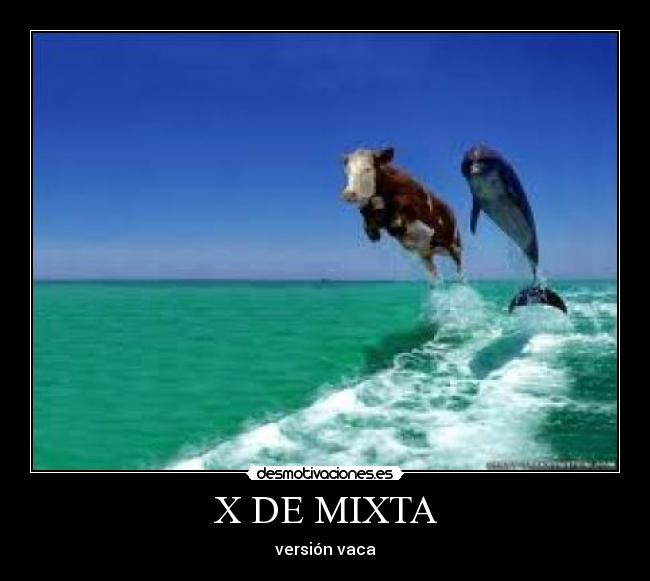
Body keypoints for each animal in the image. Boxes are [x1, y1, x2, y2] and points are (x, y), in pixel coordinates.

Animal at [341, 147, 462, 280]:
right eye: (347, 171)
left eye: (367, 169)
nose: (348, 194)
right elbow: (366, 213)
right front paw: (373, 232)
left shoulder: (414, 207)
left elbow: (399, 221)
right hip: (426, 255)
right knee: (433, 272)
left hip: (455, 244)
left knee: (459, 265)